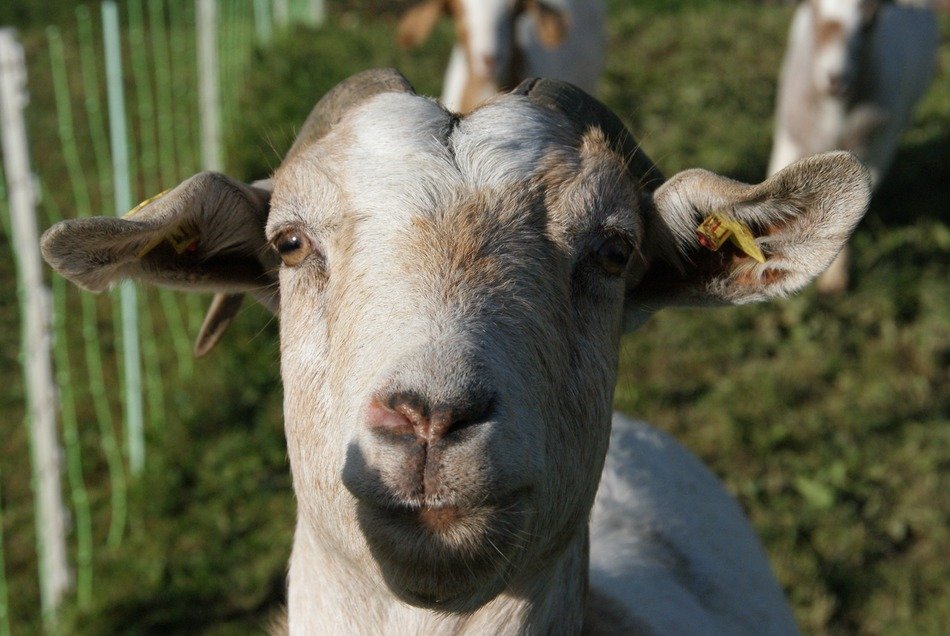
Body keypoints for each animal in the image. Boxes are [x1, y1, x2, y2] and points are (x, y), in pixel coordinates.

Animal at [768, 0, 940, 294]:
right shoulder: (791, 140)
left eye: (870, 21)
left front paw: (834, 278)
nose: (835, 78)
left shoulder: (875, 154)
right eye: (816, 14)